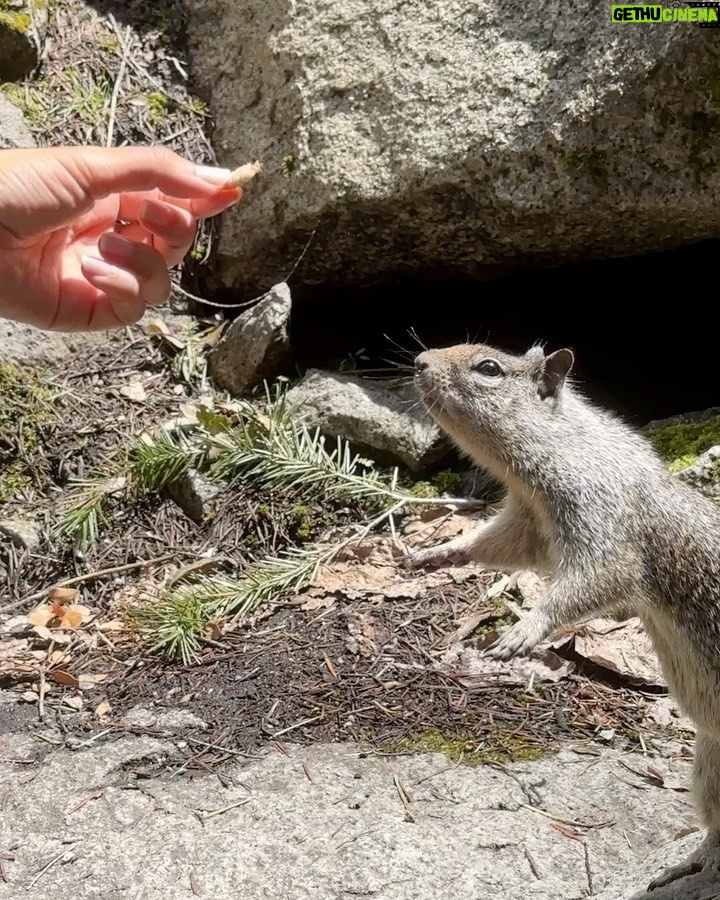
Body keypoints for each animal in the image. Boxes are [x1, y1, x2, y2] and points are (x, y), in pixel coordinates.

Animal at [404, 341, 720, 892]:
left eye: (489, 367)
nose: (420, 362)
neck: (566, 446)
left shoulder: (602, 527)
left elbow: (592, 581)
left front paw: (522, 630)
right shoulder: (527, 525)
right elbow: (492, 546)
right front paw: (439, 551)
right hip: (709, 773)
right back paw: (689, 863)